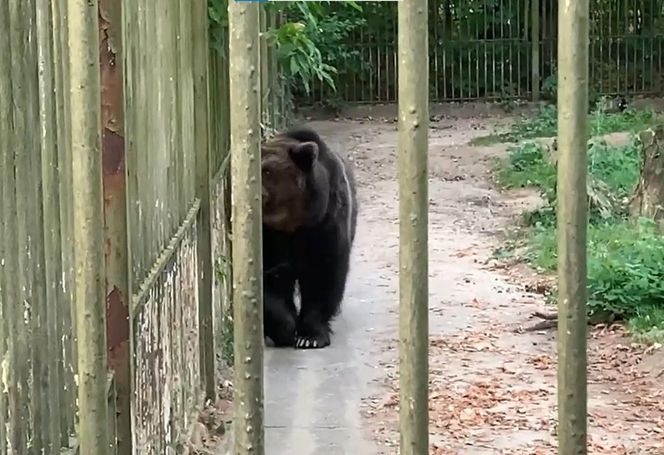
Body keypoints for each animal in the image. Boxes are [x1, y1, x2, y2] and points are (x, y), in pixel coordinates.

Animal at [262, 125, 358, 350]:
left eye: (267, 171)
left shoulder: (324, 223)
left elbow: (322, 273)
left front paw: (310, 336)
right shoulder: (269, 234)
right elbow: (269, 278)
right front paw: (285, 329)